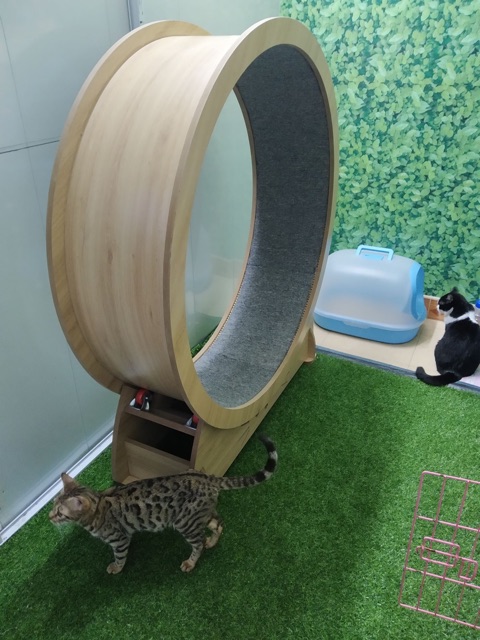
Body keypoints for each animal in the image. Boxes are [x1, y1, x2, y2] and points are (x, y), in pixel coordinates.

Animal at [49, 434, 277, 574]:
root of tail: (207, 478)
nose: (49, 516)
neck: (98, 506)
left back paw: (191, 561)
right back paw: (212, 542)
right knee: (219, 523)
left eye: (60, 513)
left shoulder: (119, 539)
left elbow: (120, 556)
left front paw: (116, 567)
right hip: (200, 515)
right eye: (53, 505)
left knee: (198, 543)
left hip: (185, 523)